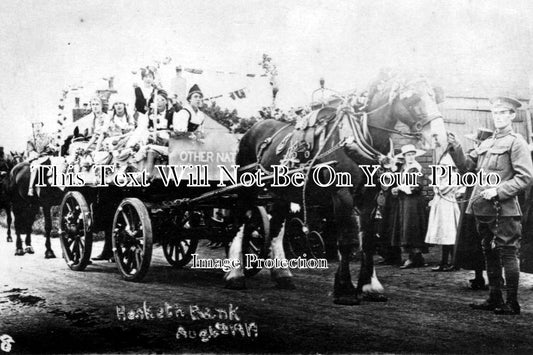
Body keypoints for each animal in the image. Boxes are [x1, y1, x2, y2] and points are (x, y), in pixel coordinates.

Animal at [222, 70, 446, 306]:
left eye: (435, 95)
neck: (355, 141)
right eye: (411, 98)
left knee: (275, 229)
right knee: (240, 222)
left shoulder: (369, 198)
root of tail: (252, 130)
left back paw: (282, 275)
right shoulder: (342, 195)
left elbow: (367, 241)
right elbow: (346, 241)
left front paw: (369, 286)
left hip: (280, 193)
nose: (438, 136)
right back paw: (235, 275)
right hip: (246, 188)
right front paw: (345, 289)